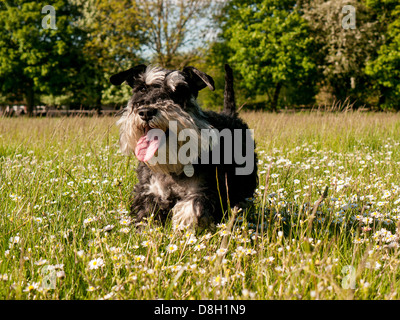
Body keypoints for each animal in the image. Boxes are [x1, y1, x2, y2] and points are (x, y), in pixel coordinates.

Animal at [111, 65, 258, 230]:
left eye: (179, 91)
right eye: (142, 89)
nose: (146, 112)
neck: (171, 166)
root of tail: (230, 114)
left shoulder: (206, 190)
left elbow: (191, 207)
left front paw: (182, 228)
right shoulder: (148, 191)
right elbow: (147, 215)